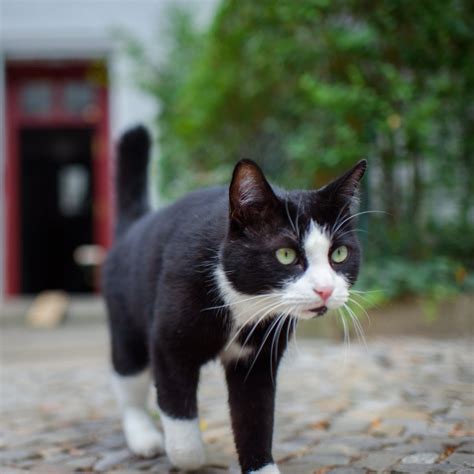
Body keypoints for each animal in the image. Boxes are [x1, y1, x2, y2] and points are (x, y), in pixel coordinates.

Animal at [103, 124, 366, 472]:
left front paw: (262, 467)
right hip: (127, 325)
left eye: (339, 254)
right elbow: (179, 415)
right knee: (128, 380)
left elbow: (254, 415)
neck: (243, 304)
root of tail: (136, 224)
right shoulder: (168, 343)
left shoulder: (259, 357)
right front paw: (190, 454)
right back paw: (144, 438)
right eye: (285, 254)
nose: (325, 289)